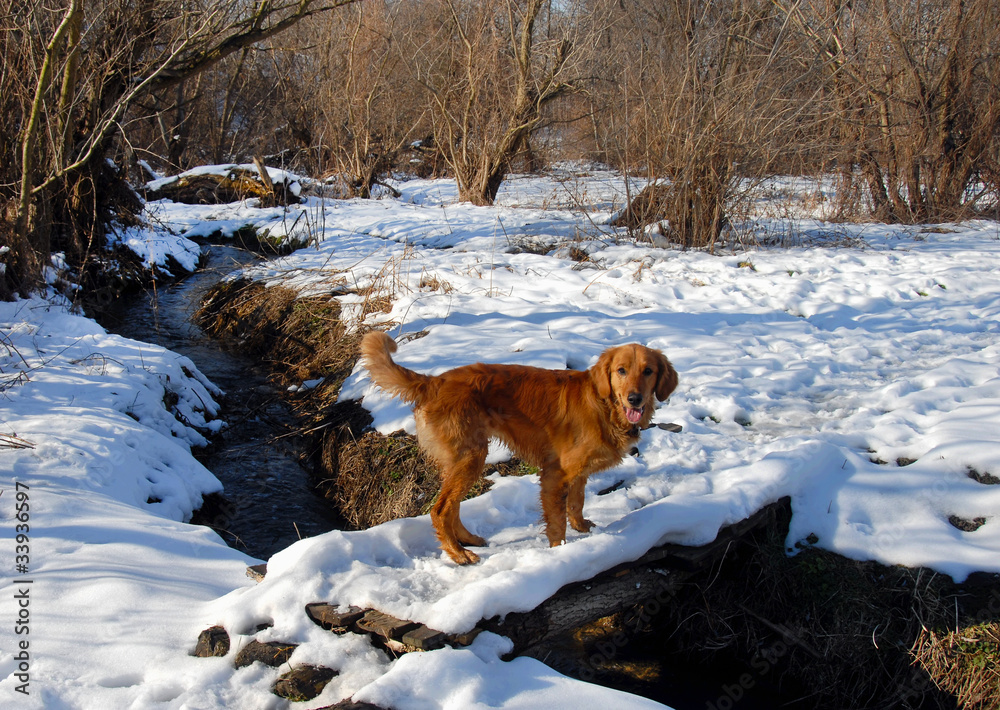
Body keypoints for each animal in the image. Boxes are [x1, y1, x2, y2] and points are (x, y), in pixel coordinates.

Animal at [362, 334, 680, 568]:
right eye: (621, 371)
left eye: (648, 371)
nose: (635, 398)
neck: (604, 405)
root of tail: (435, 381)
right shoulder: (555, 474)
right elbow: (557, 521)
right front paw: (562, 553)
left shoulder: (578, 473)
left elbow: (577, 503)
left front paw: (583, 529)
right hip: (470, 457)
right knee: (440, 510)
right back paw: (457, 554)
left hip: (464, 460)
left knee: (452, 506)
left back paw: (467, 540)